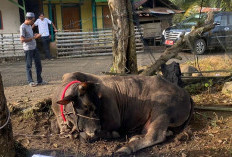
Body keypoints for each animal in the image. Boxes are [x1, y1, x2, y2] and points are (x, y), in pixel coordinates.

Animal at [52, 72, 194, 155]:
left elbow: (87, 136)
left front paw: (110, 134)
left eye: (97, 106)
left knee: (155, 136)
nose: (96, 130)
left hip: (161, 110)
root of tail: (185, 92)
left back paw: (125, 149)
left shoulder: (114, 119)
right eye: (86, 106)